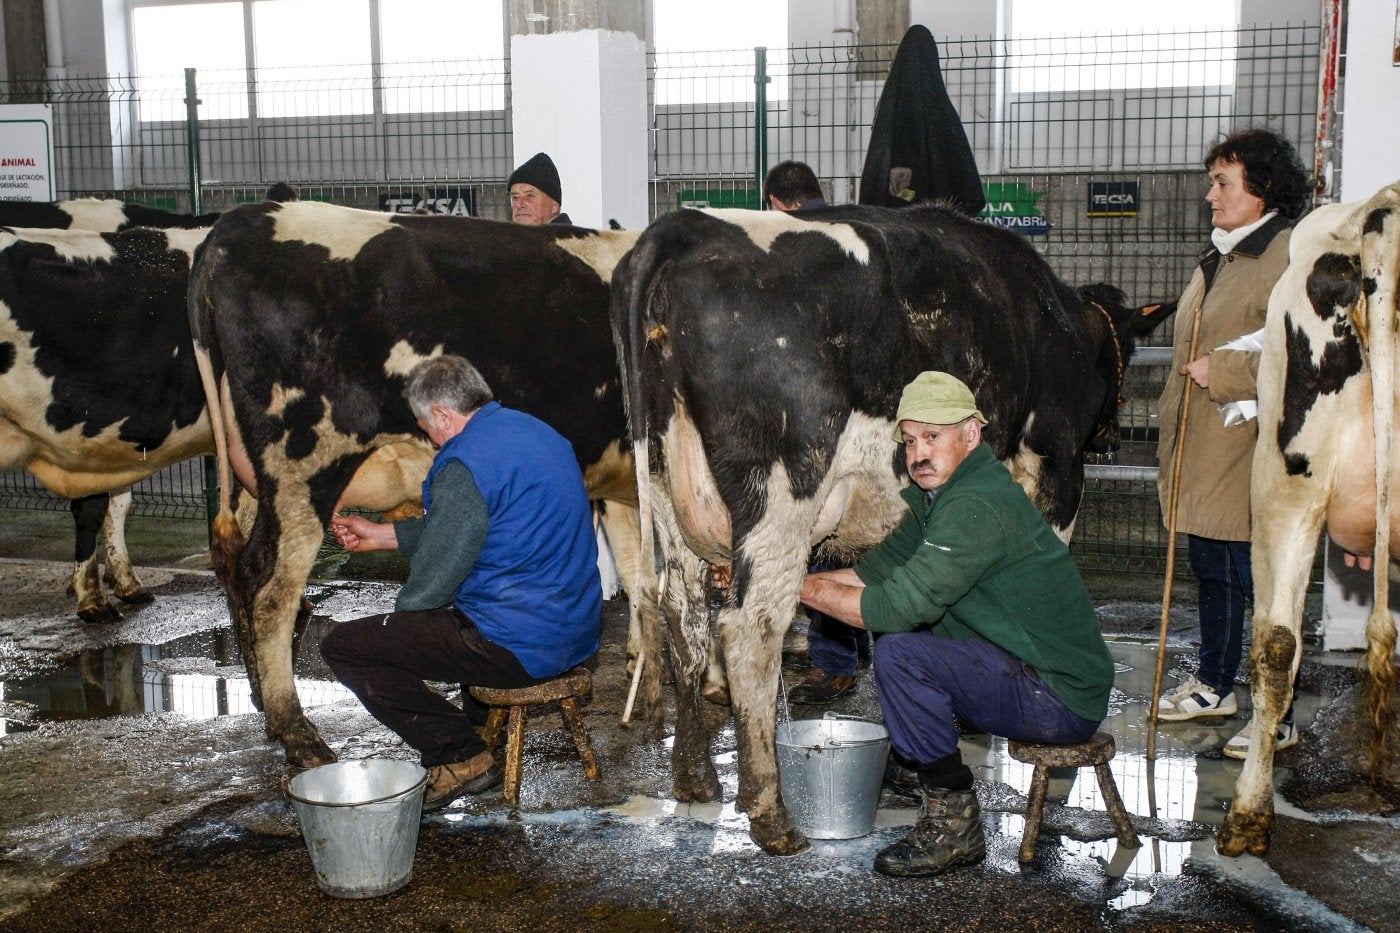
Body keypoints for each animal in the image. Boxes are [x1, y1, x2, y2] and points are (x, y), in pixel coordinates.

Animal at [187, 200, 644, 767]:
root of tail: (241, 220)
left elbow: (640, 574)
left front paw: (642, 670)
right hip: (302, 461)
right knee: (271, 587)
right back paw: (299, 735)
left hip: (254, 477)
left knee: (238, 567)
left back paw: (264, 708)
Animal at [613, 203, 1148, 851]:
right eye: (1123, 360)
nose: (1113, 435)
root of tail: (685, 227)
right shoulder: (1058, 471)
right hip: (783, 490)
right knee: (749, 630)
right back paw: (771, 814)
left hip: (669, 493)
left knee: (684, 619)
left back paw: (694, 778)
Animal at [1215, 179, 1400, 857]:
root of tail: (1380, 214)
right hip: (1279, 483)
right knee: (1275, 642)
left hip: (1288, 486)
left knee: (1276, 644)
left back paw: (1249, 817)